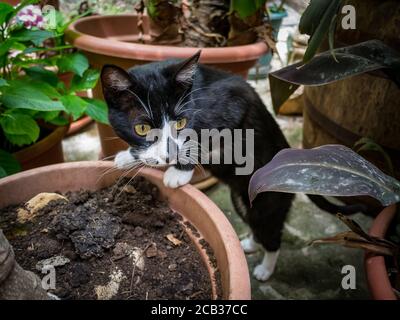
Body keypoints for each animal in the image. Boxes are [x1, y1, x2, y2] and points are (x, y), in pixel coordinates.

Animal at [101, 51, 366, 282]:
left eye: (181, 123)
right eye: (142, 128)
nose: (169, 156)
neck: (195, 92)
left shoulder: (236, 102)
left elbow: (200, 137)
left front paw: (178, 171)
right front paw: (129, 156)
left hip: (270, 202)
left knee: (271, 232)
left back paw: (265, 268)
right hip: (241, 198)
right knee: (250, 218)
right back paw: (249, 243)